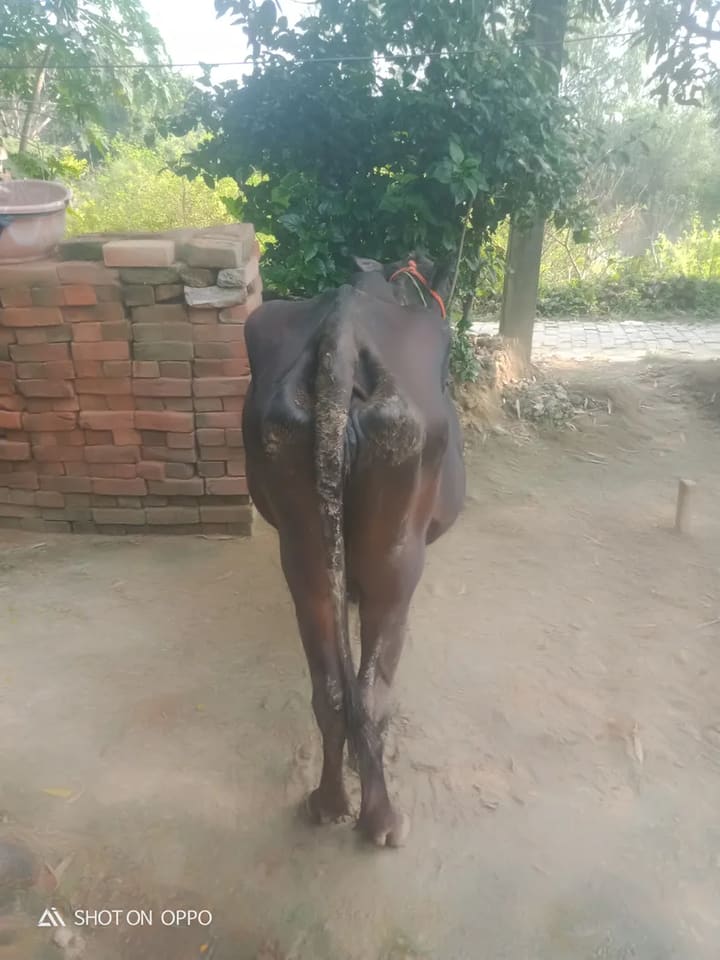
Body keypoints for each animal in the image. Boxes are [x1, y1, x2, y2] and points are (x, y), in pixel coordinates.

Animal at [242, 252, 466, 847]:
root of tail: (341, 341)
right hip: (398, 559)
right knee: (371, 692)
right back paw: (381, 819)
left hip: (303, 553)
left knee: (330, 688)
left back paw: (328, 801)